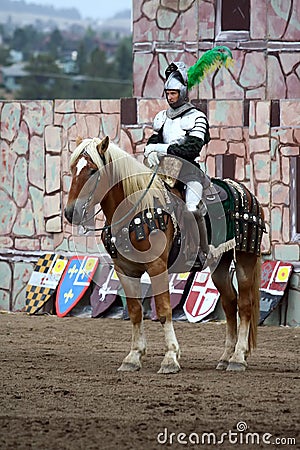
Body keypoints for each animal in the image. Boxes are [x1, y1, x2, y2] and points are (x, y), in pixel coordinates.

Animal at [64, 136, 264, 372]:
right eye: (73, 169)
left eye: (93, 170)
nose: (71, 212)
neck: (136, 208)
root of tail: (246, 193)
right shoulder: (125, 270)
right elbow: (135, 311)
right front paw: (133, 356)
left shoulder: (157, 267)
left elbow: (163, 310)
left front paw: (170, 357)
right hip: (219, 264)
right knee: (229, 303)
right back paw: (225, 357)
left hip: (244, 259)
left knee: (244, 305)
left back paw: (238, 357)